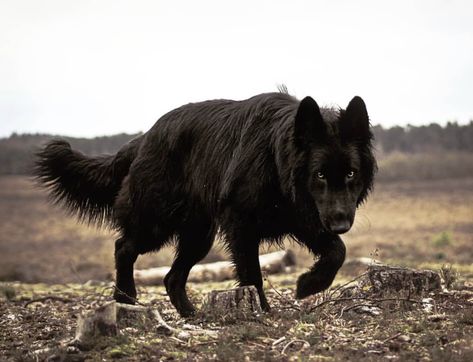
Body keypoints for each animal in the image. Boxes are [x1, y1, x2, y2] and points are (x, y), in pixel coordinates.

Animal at [35, 91, 376, 316]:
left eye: (351, 173)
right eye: (320, 174)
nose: (342, 223)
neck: (275, 157)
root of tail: (143, 138)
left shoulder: (305, 217)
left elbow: (337, 252)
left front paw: (308, 284)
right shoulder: (242, 225)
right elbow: (252, 275)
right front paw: (261, 312)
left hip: (198, 235)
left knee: (172, 277)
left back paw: (191, 315)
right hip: (156, 223)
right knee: (124, 247)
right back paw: (125, 298)